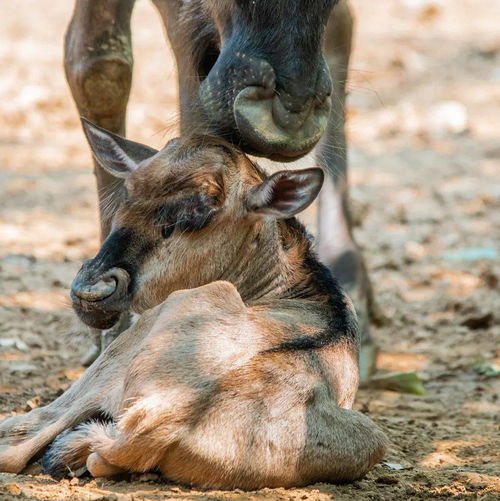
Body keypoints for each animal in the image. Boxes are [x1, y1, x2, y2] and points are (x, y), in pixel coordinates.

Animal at [0, 121, 386, 488]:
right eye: (129, 191)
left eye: (201, 213)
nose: (91, 289)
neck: (297, 286)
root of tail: (168, 412)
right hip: (374, 439)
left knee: (22, 440)